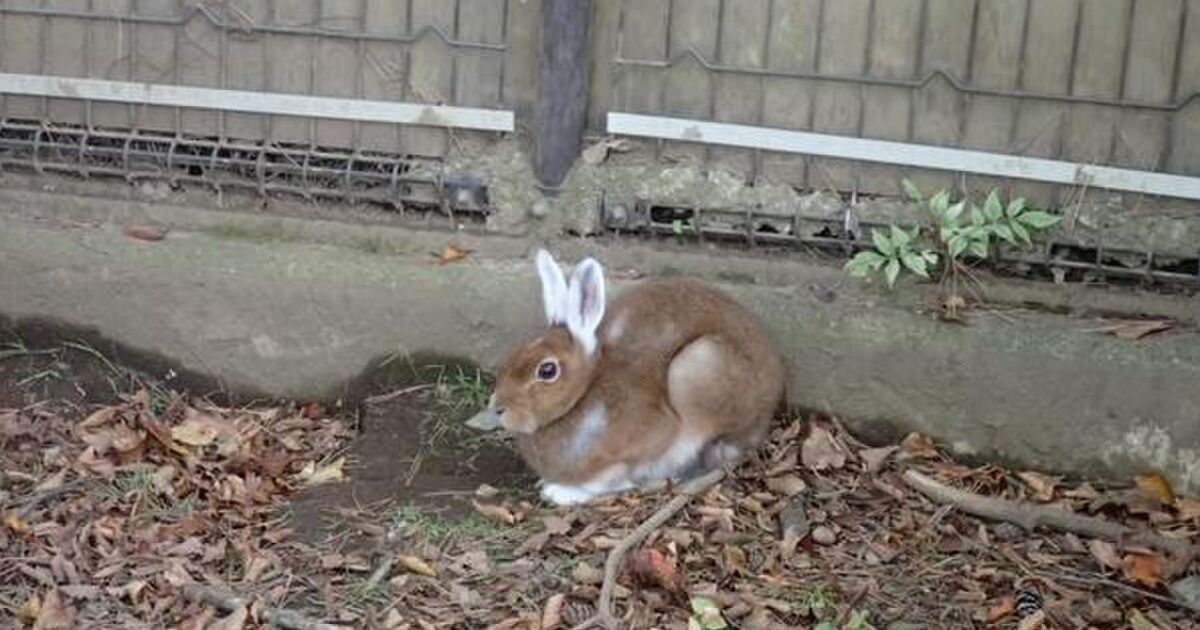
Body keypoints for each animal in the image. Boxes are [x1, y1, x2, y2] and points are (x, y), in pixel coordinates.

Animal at [468, 248, 787, 504]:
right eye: (514, 353)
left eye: (547, 370)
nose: (498, 408)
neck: (585, 394)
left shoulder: (653, 439)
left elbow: (615, 479)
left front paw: (559, 491)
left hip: (696, 367)